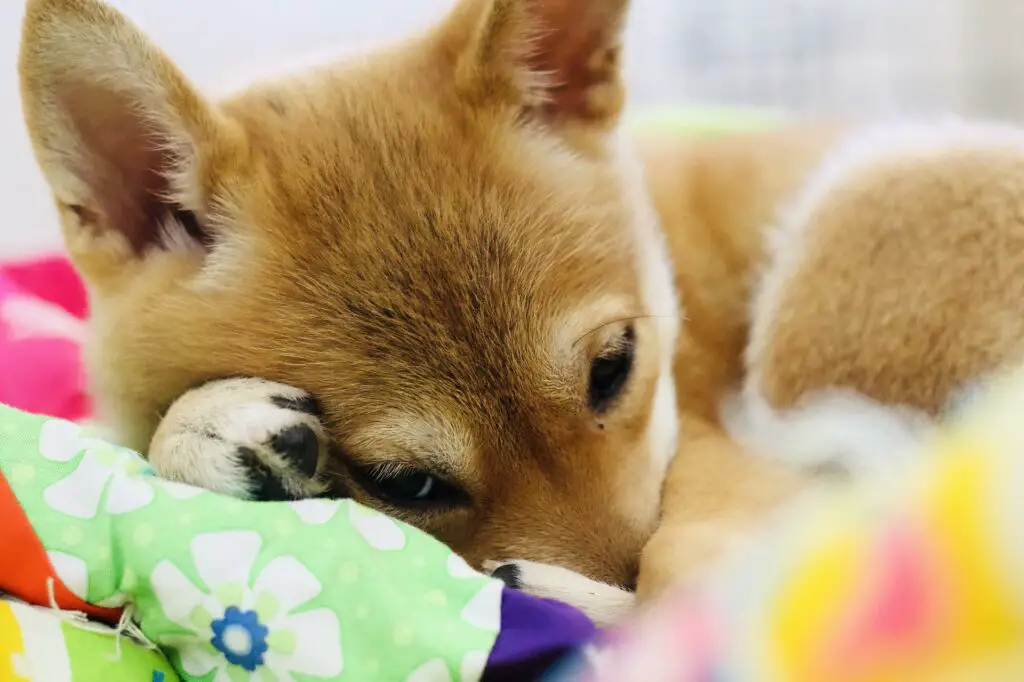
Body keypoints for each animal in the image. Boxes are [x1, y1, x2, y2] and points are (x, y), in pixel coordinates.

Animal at [18, 0, 1024, 622]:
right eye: (409, 485)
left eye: (614, 367)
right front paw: (208, 429)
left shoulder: (720, 468)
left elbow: (697, 584)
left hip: (851, 244)